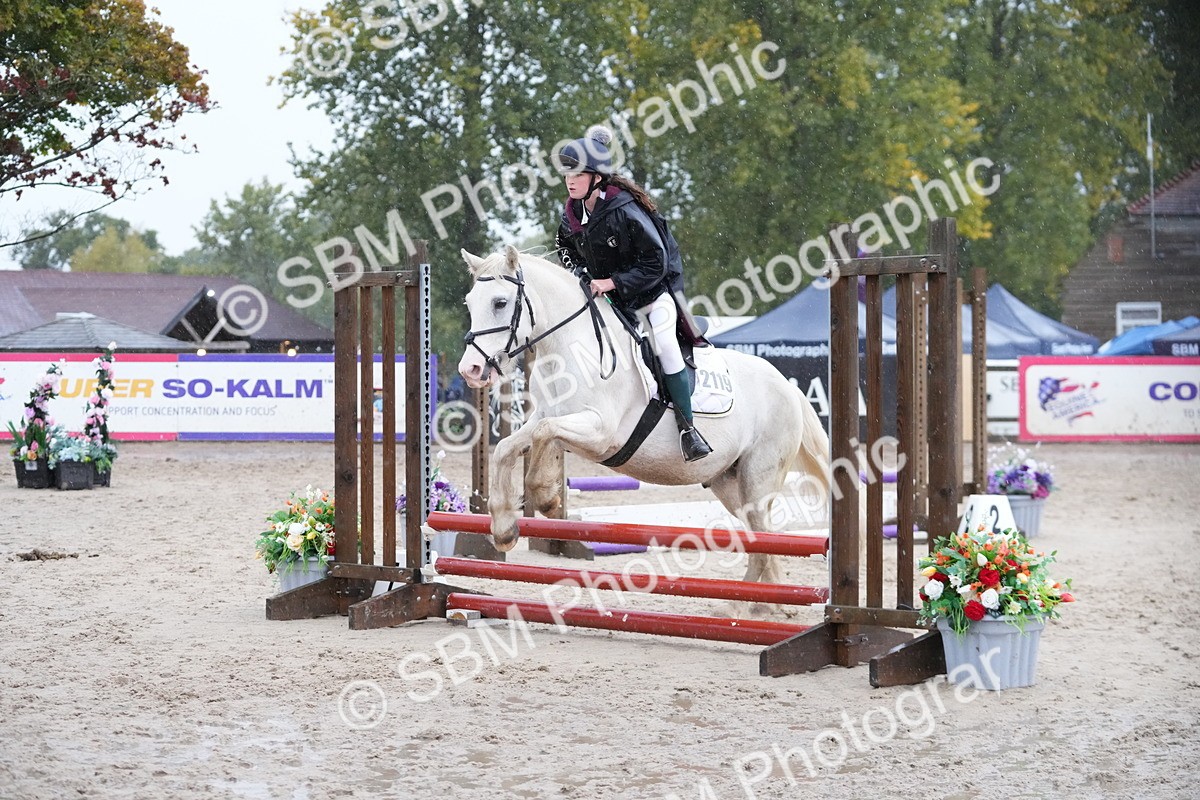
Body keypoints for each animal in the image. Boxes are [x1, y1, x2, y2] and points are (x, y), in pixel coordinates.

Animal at [456, 245, 832, 589]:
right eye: (470, 303)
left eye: (500, 303)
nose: (470, 370)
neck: (571, 346)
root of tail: (786, 386)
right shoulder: (549, 416)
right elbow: (507, 448)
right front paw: (504, 528)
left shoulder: (600, 432)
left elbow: (543, 437)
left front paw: (547, 497)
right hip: (728, 482)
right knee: (761, 538)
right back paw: (755, 606)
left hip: (758, 476)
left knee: (763, 534)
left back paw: (751, 608)